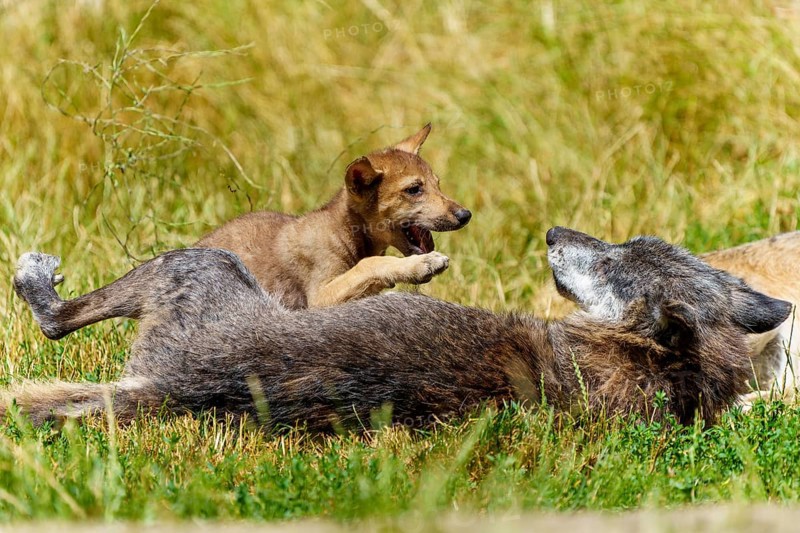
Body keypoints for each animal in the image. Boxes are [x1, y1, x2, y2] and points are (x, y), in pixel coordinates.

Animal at [4, 227, 790, 429]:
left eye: (609, 261)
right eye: (624, 244)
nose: (551, 233)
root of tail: (172, 389)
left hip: (197, 264)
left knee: (54, 320)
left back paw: (35, 277)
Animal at [194, 124, 471, 309]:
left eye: (438, 184)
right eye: (414, 189)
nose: (465, 214)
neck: (343, 230)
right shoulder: (319, 297)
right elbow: (370, 264)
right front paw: (422, 264)